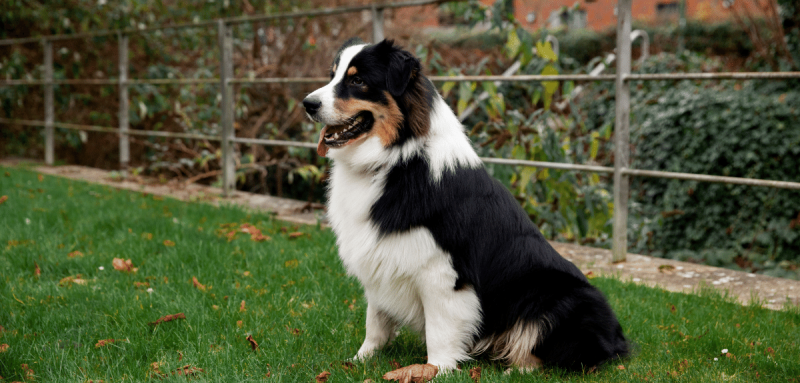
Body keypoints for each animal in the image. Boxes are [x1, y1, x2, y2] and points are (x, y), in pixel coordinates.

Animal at [304, 38, 628, 372]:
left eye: (357, 81)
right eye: (332, 75)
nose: (307, 104)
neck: (396, 159)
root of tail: (618, 340)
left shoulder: (441, 270)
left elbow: (440, 329)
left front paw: (437, 370)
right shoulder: (381, 257)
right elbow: (376, 321)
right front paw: (361, 360)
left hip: (560, 297)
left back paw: (515, 369)